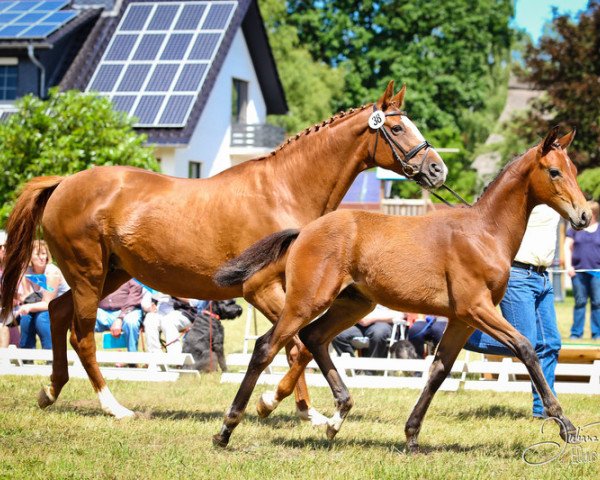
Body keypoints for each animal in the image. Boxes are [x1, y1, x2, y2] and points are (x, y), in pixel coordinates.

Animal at [0, 82, 448, 424]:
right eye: (397, 127)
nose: (438, 170)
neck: (284, 189)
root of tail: (64, 183)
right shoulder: (261, 290)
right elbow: (296, 345)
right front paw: (274, 404)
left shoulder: (292, 293)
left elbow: (295, 346)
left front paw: (306, 412)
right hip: (89, 275)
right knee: (81, 336)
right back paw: (114, 407)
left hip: (110, 274)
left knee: (56, 312)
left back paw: (50, 391)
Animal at [212, 125, 592, 448]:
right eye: (554, 172)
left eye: (574, 170)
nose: (585, 216)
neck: (484, 232)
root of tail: (305, 230)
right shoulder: (476, 308)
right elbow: (526, 348)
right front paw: (566, 426)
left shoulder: (461, 319)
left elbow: (438, 371)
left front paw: (411, 436)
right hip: (307, 300)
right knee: (267, 346)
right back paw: (229, 428)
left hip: (353, 304)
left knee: (313, 338)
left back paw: (336, 417)